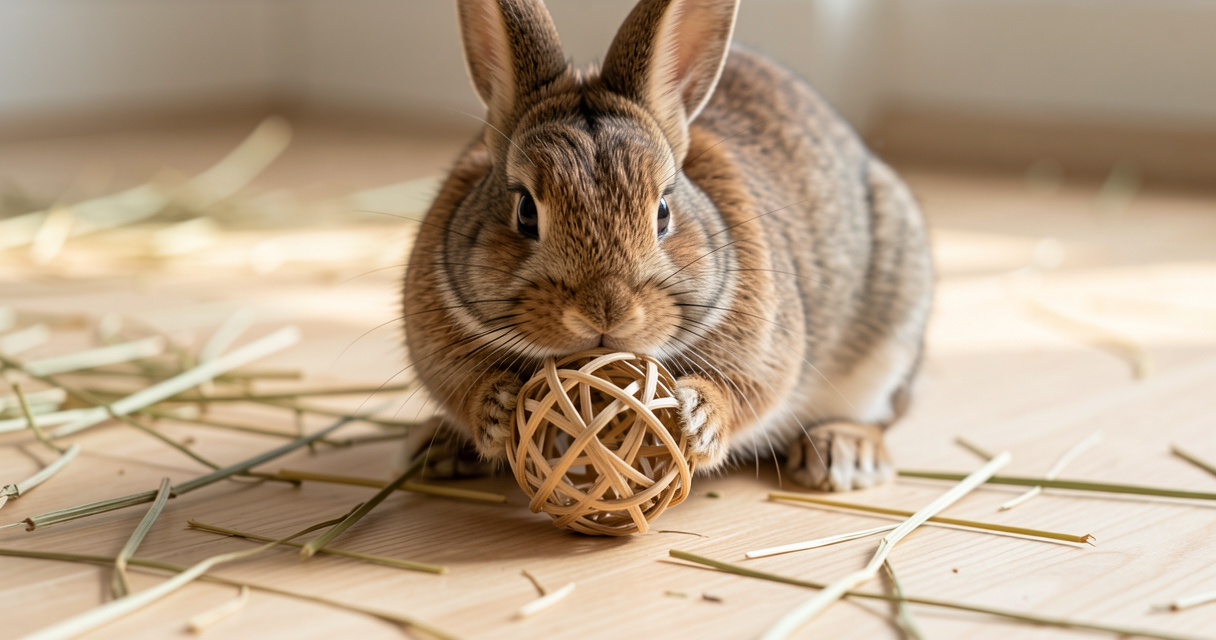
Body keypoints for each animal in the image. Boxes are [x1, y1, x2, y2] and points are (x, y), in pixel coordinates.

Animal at [401, 0, 933, 492]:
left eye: (662, 212)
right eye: (526, 211)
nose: (605, 313)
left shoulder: (766, 355)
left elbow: (746, 394)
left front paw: (698, 415)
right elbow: (462, 387)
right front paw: (496, 408)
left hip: (891, 331)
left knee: (886, 412)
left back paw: (843, 453)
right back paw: (436, 449)